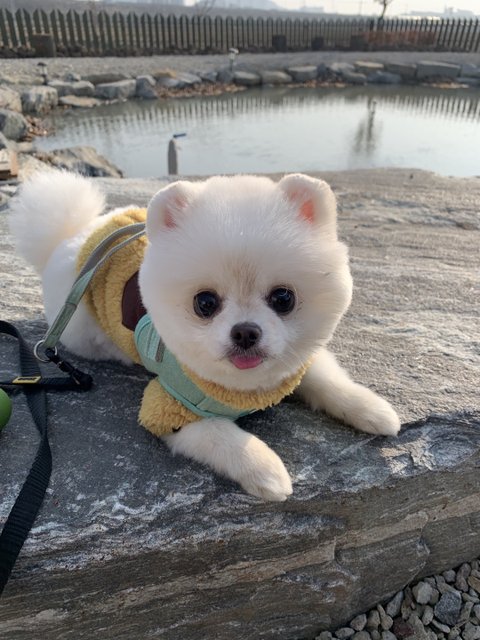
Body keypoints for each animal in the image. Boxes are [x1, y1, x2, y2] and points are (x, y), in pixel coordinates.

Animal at [10, 170, 400, 501]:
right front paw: (267, 470)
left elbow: (328, 381)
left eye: (283, 298)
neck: (248, 387)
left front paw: (371, 409)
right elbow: (222, 436)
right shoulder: (169, 410)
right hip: (80, 330)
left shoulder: (295, 365)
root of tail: (72, 236)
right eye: (205, 303)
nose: (245, 332)